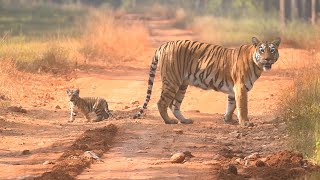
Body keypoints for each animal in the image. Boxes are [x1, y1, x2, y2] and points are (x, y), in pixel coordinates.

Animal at [134, 36, 282, 126]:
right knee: (162, 102)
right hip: (172, 80)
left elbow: (231, 105)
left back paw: (185, 120)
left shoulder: (234, 89)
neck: (257, 65)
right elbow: (242, 106)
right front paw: (245, 122)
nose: (268, 59)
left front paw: (228, 119)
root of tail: (164, 44)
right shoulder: (240, 86)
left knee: (174, 105)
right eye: (262, 50)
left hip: (182, 84)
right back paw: (169, 121)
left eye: (272, 50)